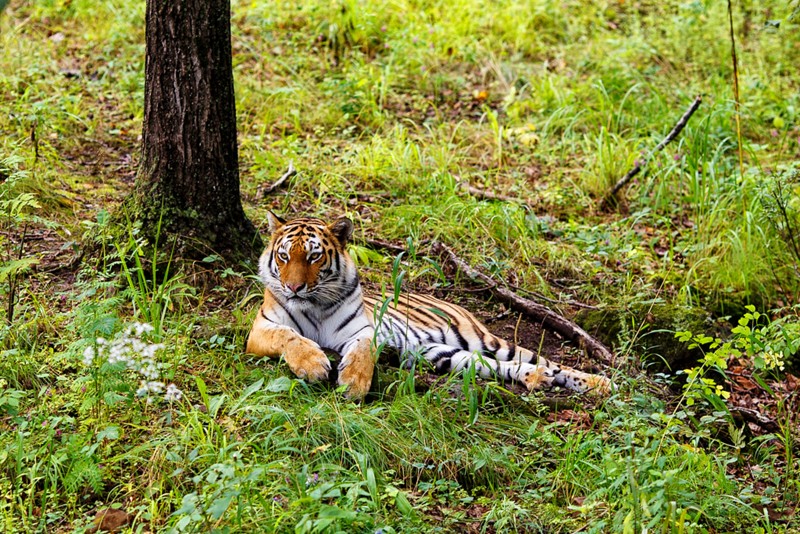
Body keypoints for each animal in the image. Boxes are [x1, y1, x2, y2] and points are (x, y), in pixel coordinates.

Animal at [244, 211, 612, 400]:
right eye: (284, 256)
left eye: (314, 257)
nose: (294, 287)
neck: (315, 303)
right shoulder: (261, 328)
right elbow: (289, 337)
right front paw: (313, 365)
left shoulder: (365, 330)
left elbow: (362, 350)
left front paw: (353, 383)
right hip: (442, 355)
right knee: (504, 367)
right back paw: (536, 378)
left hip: (486, 340)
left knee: (548, 361)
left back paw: (600, 383)